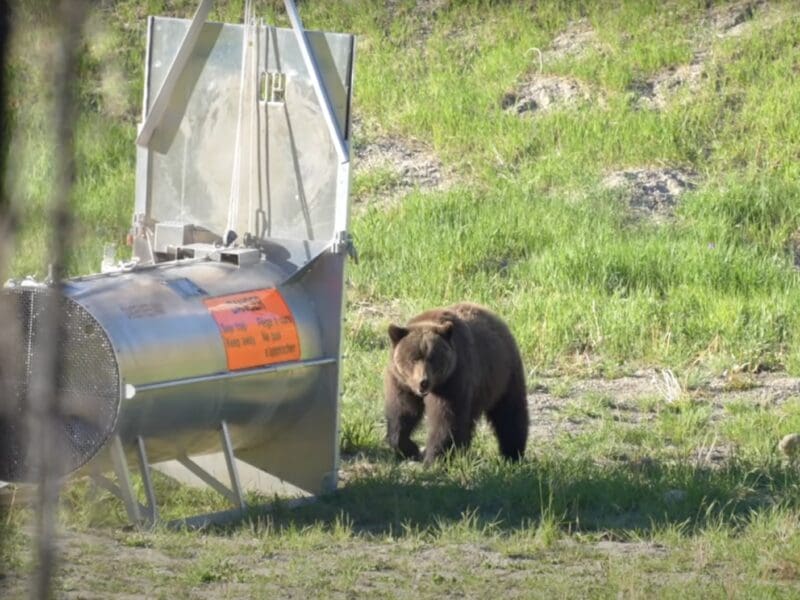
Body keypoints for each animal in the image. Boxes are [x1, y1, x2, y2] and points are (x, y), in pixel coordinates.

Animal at [384, 302, 529, 464]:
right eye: (413, 358)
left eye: (432, 358)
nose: (423, 382)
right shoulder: (401, 382)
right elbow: (402, 411)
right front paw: (409, 448)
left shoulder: (452, 381)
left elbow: (446, 420)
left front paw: (434, 458)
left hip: (503, 376)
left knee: (510, 413)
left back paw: (512, 454)